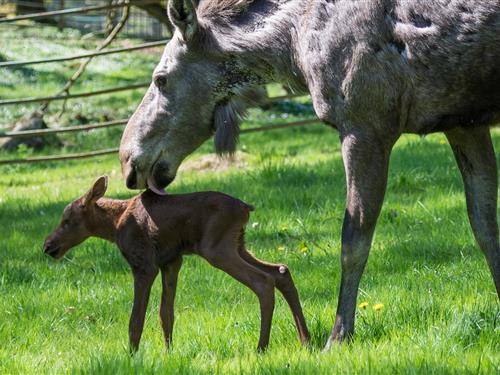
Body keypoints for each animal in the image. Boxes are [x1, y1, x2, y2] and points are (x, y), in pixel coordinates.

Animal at [44, 177, 308, 352]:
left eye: (67, 221)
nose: (48, 245)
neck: (113, 225)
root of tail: (246, 208)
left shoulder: (144, 264)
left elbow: (136, 319)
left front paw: (132, 355)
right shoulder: (171, 261)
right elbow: (166, 313)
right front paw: (168, 351)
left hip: (216, 248)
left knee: (263, 281)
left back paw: (261, 347)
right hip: (238, 245)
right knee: (281, 271)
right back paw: (305, 340)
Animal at [120, 1, 500, 352]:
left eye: (160, 78)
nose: (128, 160)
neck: (292, 48)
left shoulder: (365, 126)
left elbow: (353, 241)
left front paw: (338, 336)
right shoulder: (463, 123)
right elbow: (484, 228)